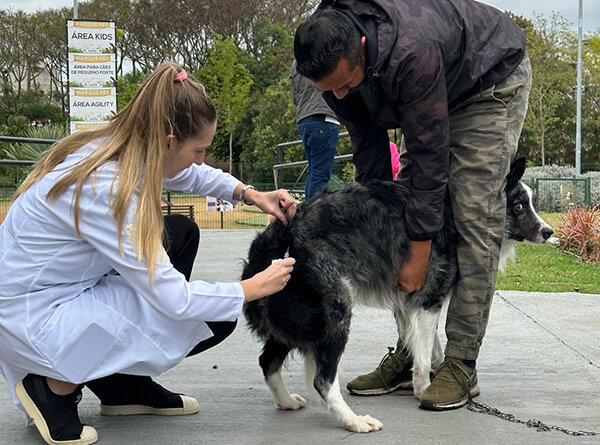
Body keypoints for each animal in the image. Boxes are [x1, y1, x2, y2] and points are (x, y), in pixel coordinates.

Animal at [243, 156, 552, 430]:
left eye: (530, 203)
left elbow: (429, 346)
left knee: (267, 361)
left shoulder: (409, 301)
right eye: (519, 205)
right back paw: (354, 421)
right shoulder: (429, 299)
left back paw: (286, 401)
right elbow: (425, 354)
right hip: (335, 312)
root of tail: (285, 230)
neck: (452, 217)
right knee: (322, 380)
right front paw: (424, 388)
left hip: (294, 317)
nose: (548, 232)